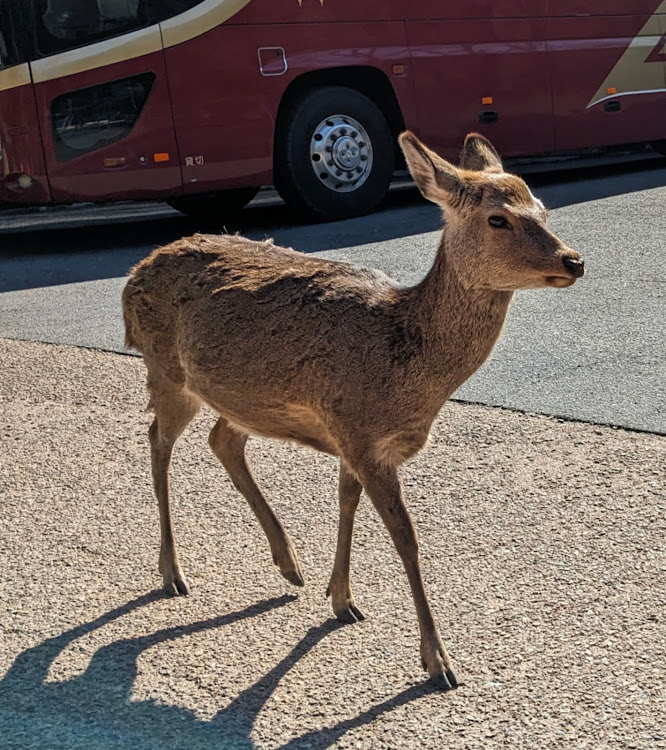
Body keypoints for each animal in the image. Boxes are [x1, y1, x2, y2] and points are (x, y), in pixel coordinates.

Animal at [123, 132, 580, 692]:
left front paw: (341, 599)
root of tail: (135, 272)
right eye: (499, 218)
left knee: (221, 440)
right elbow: (406, 539)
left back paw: (289, 564)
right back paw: (172, 572)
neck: (404, 364)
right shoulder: (362, 436)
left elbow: (346, 505)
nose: (574, 261)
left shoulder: (349, 436)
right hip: (166, 371)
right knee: (157, 442)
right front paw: (438, 661)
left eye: (543, 208)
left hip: (238, 397)